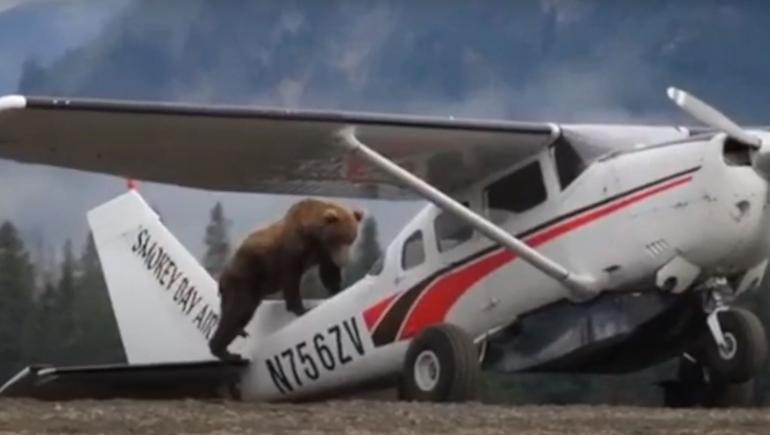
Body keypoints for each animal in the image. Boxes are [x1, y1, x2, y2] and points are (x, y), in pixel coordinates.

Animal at [207, 198, 364, 362]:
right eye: (340, 239)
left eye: (351, 239)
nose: (344, 261)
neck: (313, 236)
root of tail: (222, 276)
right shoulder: (291, 253)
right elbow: (291, 281)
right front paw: (302, 308)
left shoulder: (323, 253)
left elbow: (328, 273)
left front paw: (337, 289)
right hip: (244, 280)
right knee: (237, 312)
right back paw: (227, 353)